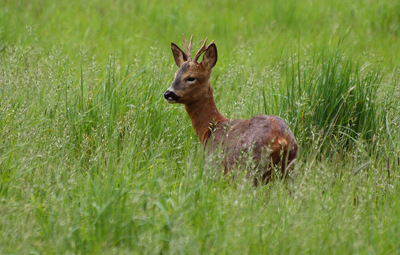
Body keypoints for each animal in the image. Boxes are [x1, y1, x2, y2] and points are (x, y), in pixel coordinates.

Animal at [162, 34, 296, 184]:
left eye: (191, 77)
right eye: (175, 75)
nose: (168, 93)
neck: (210, 129)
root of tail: (281, 139)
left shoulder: (212, 165)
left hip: (249, 167)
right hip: (290, 167)